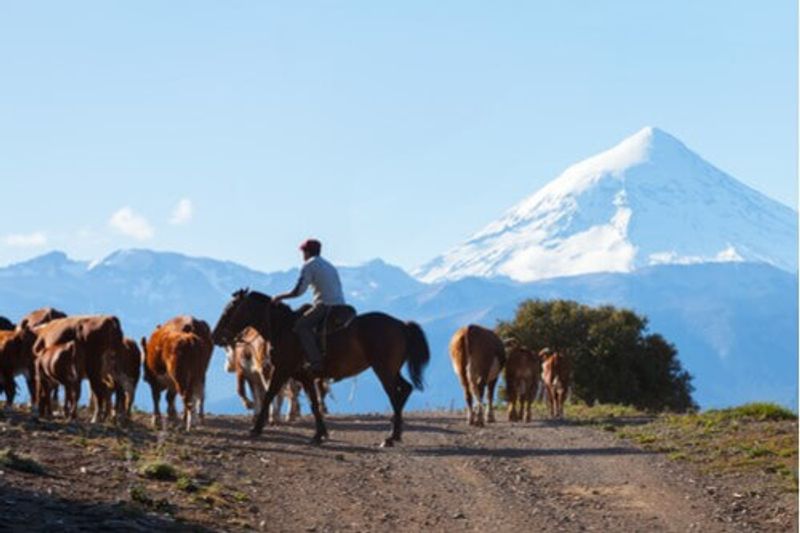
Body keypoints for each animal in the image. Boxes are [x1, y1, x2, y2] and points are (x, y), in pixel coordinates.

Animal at [209, 288, 428, 446]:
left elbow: (270, 394)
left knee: (395, 395)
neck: (283, 328)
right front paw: (319, 434)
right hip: (391, 370)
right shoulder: (304, 376)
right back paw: (395, 432)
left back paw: (391, 436)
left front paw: (256, 429)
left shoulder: (282, 370)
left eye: (229, 310)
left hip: (383, 370)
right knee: (405, 389)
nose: (215, 336)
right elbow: (313, 403)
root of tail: (401, 325)